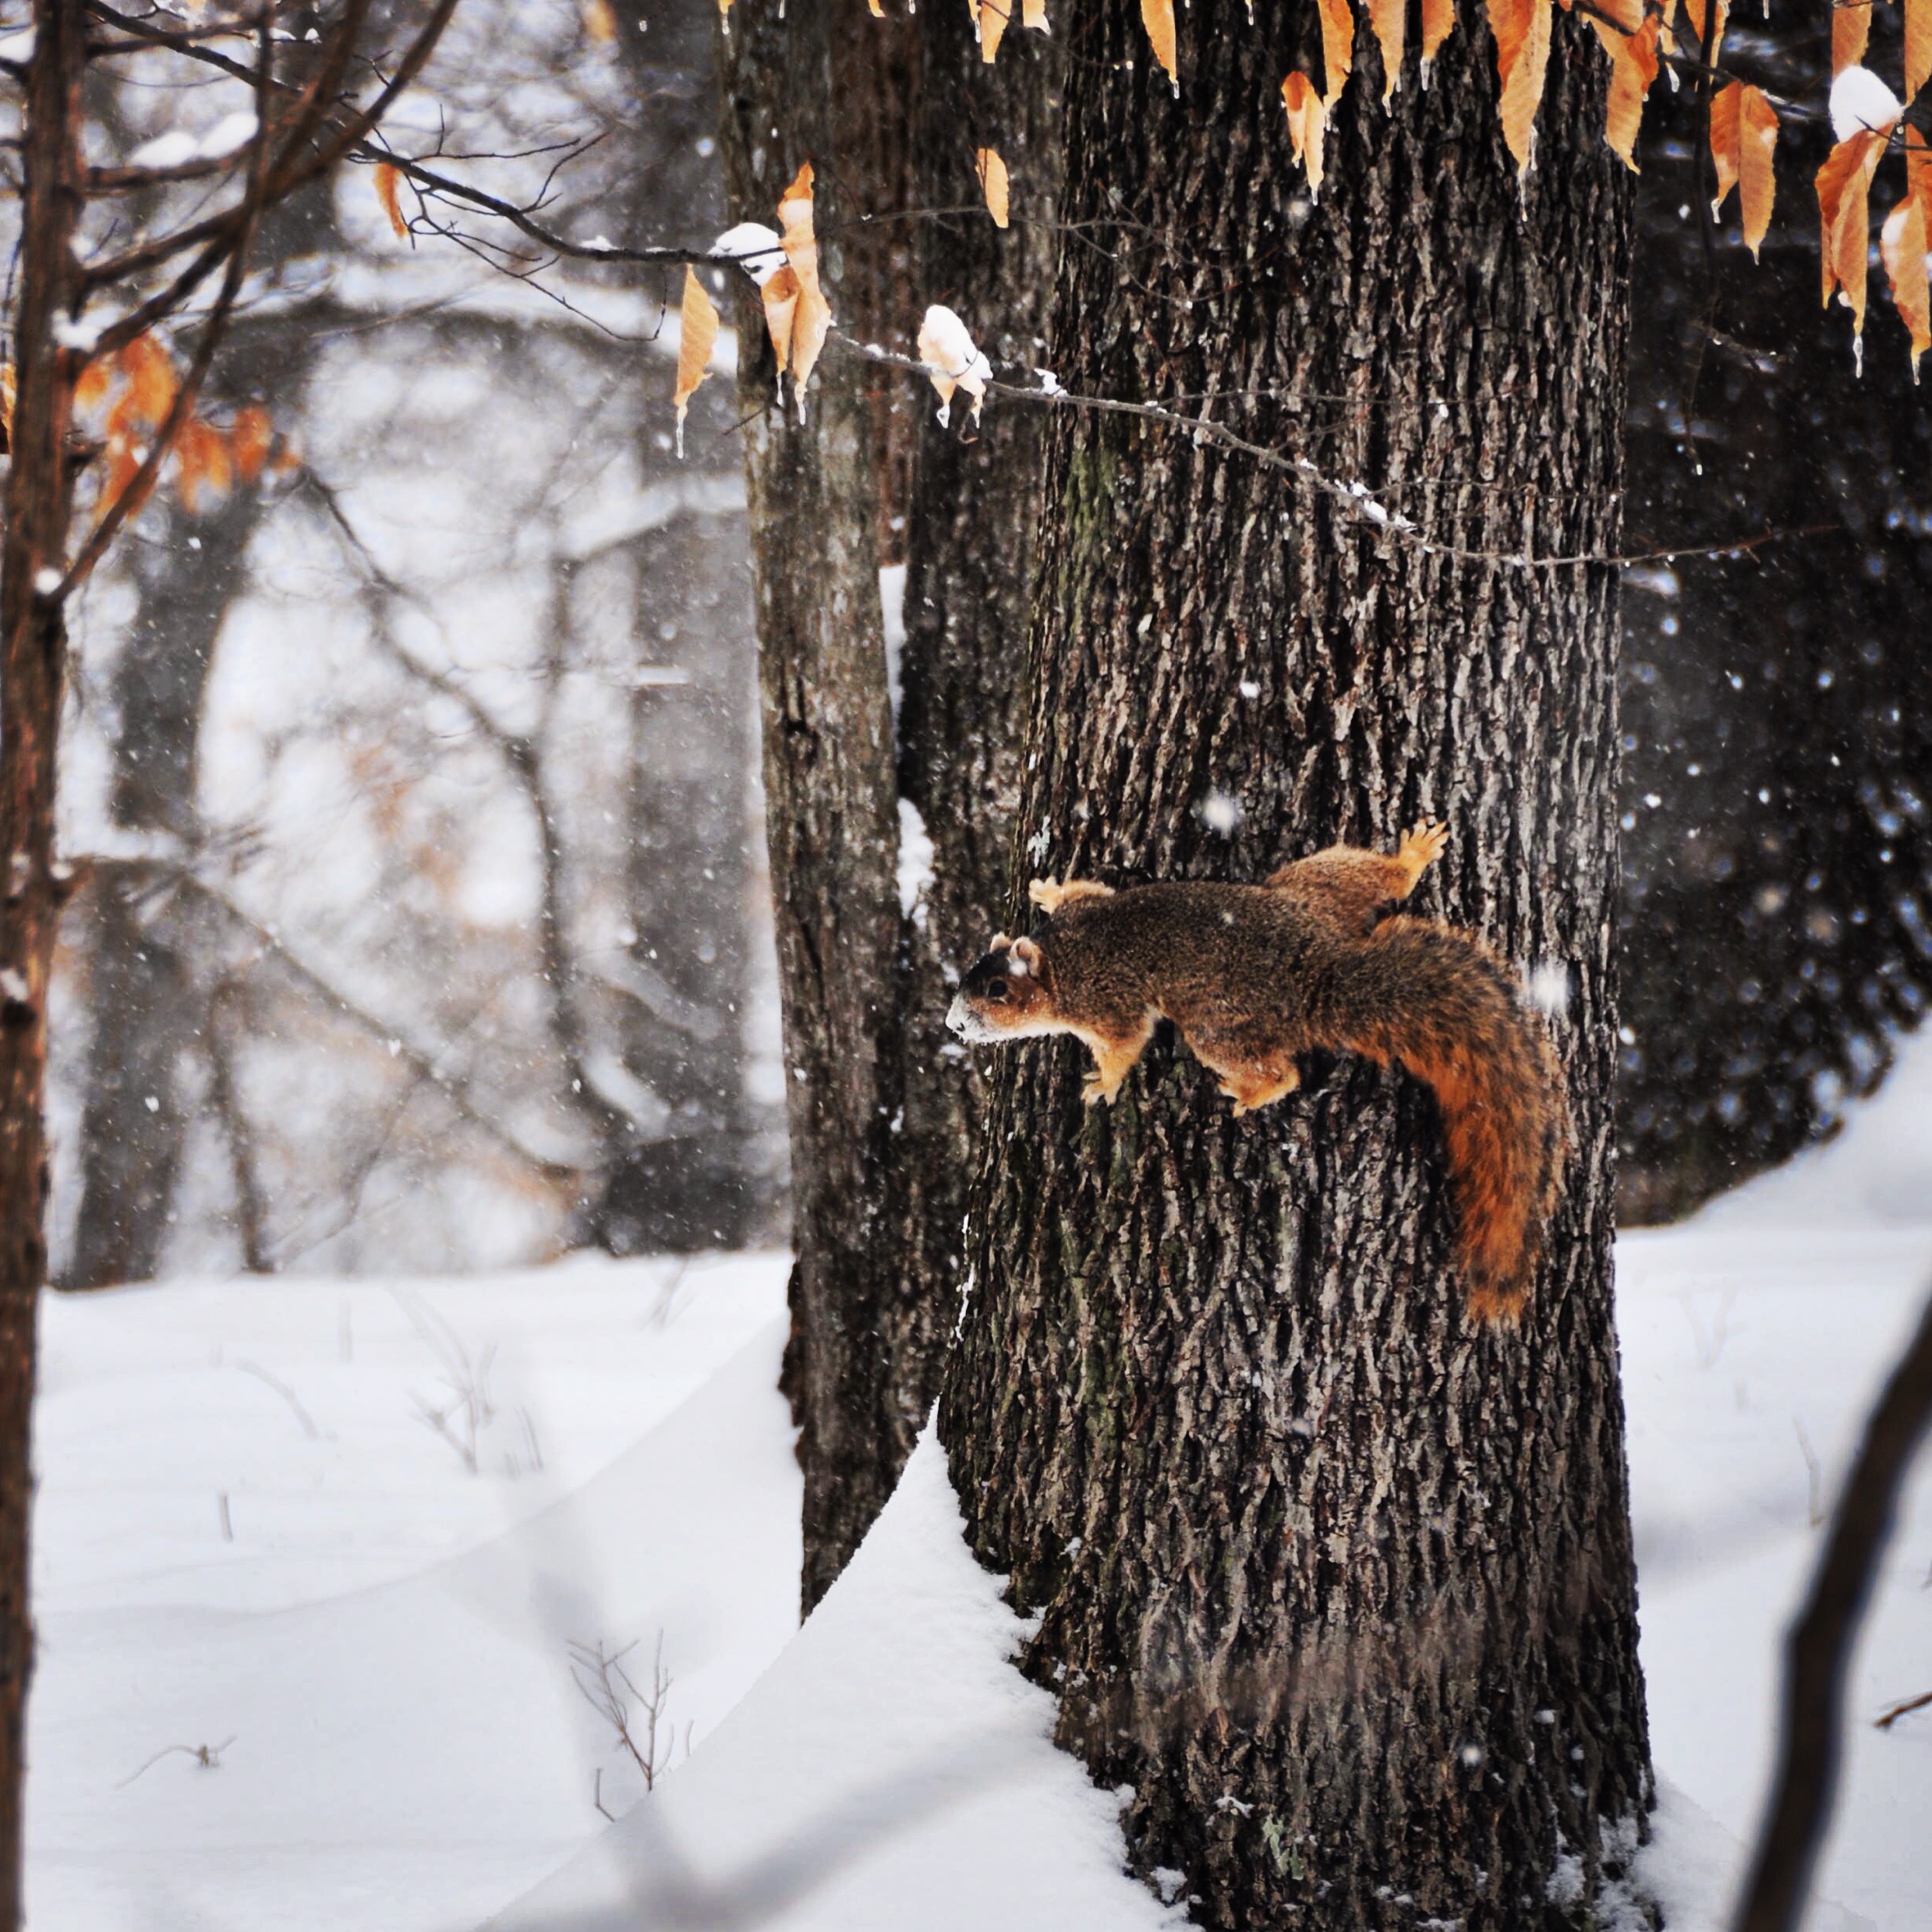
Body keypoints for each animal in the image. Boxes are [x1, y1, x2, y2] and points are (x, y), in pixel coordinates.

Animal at [945, 821, 1567, 1325]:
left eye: (998, 993)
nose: (953, 1024)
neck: (1062, 961)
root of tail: (1319, 973)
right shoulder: (1085, 911)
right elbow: (1083, 891)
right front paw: (1047, 890)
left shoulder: (1106, 1006)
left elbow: (1125, 1045)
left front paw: (1104, 1084)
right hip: (1315, 886)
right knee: (1370, 880)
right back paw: (1412, 857)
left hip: (1216, 1029)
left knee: (1281, 1072)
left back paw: (1251, 1092)